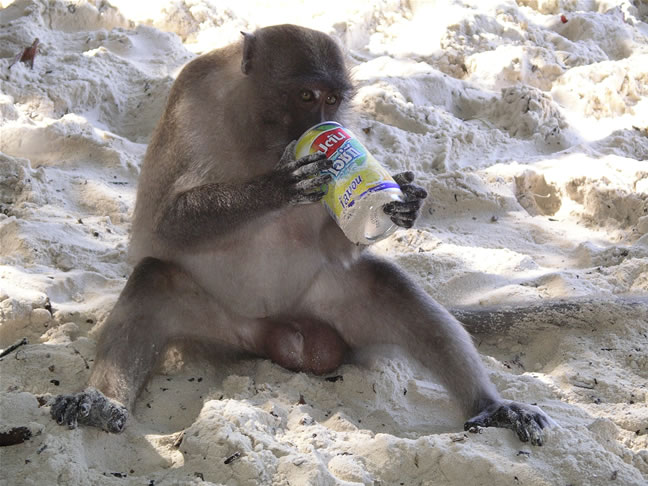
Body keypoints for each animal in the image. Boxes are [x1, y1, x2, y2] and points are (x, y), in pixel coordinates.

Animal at [50, 24, 555, 445]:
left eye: (332, 99)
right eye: (306, 94)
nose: (320, 125)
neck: (257, 129)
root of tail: (274, 330)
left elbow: (338, 235)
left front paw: (404, 198)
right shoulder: (190, 103)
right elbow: (159, 227)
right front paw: (278, 187)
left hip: (328, 304)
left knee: (388, 287)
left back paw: (492, 406)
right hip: (211, 321)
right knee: (155, 277)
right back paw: (101, 400)